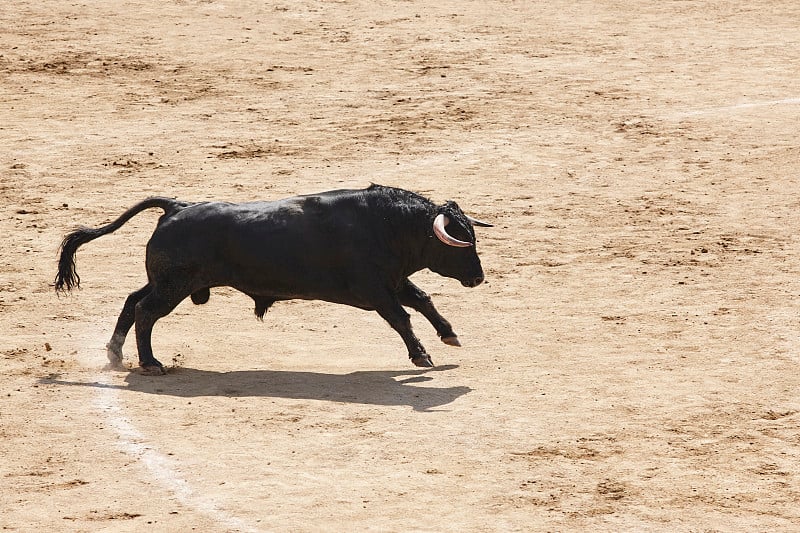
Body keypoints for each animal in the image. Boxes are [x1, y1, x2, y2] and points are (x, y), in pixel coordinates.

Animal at [54, 185, 488, 372]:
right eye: (459, 243)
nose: (479, 278)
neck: (390, 226)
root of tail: (177, 206)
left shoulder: (392, 282)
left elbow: (423, 300)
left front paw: (449, 335)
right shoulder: (375, 289)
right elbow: (402, 317)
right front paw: (422, 356)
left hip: (168, 282)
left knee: (132, 301)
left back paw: (115, 354)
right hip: (174, 286)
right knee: (146, 311)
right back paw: (150, 363)